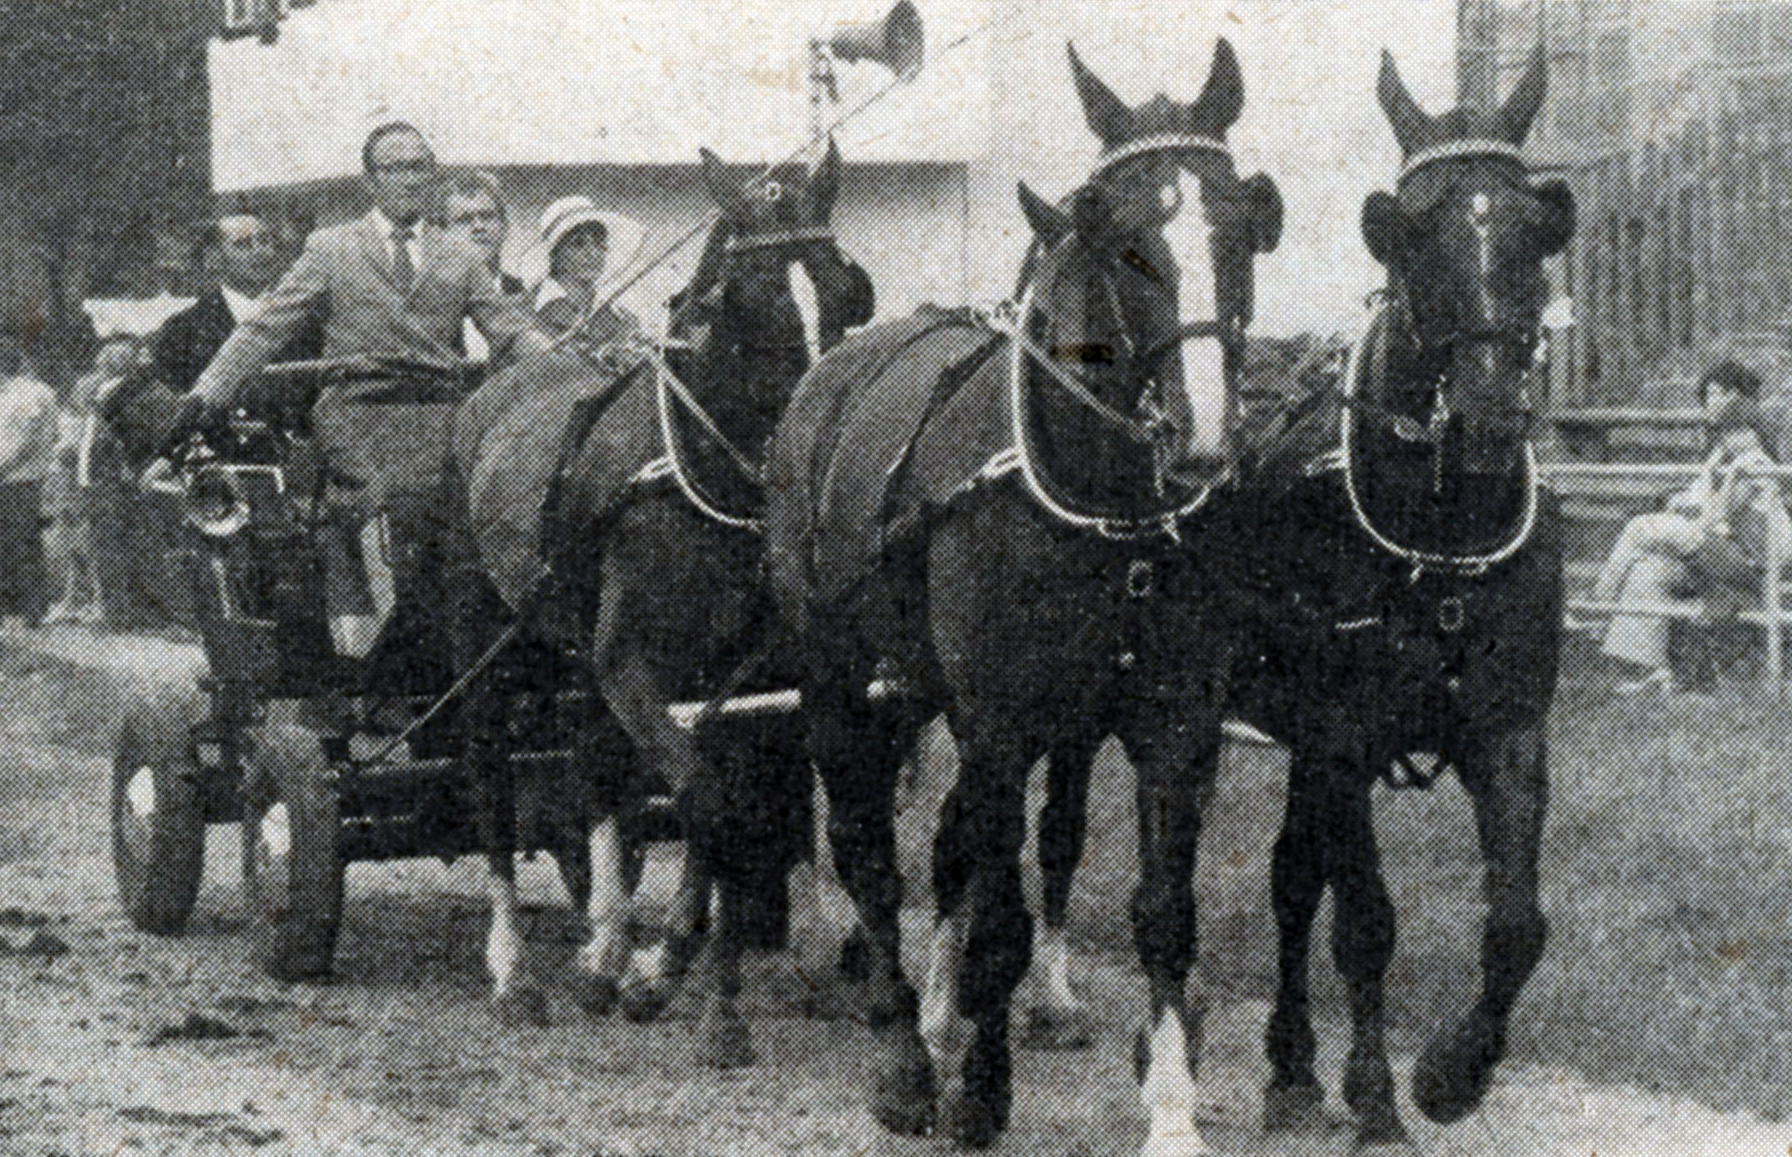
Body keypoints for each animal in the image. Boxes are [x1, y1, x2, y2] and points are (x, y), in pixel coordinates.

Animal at [444, 137, 870, 1067]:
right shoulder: (629, 664)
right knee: (492, 779)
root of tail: (494, 389)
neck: (702, 473)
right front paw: (699, 993)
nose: (809, 442)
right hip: (491, 642)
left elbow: (731, 803)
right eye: (750, 297)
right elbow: (711, 800)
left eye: (848, 292)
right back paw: (514, 971)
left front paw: (674, 974)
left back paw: (604, 947)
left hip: (577, 653)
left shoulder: (741, 679)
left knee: (594, 766)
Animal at [763, 40, 1283, 1153]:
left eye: (1243, 217)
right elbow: (994, 908)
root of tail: (829, 375)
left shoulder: (1173, 722)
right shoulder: (1001, 724)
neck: (1111, 515)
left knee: (952, 840)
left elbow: (1159, 910)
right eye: (1115, 236)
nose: (1204, 435)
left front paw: (1171, 1109)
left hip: (925, 690)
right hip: (838, 676)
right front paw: (976, 1088)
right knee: (869, 848)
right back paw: (904, 1049)